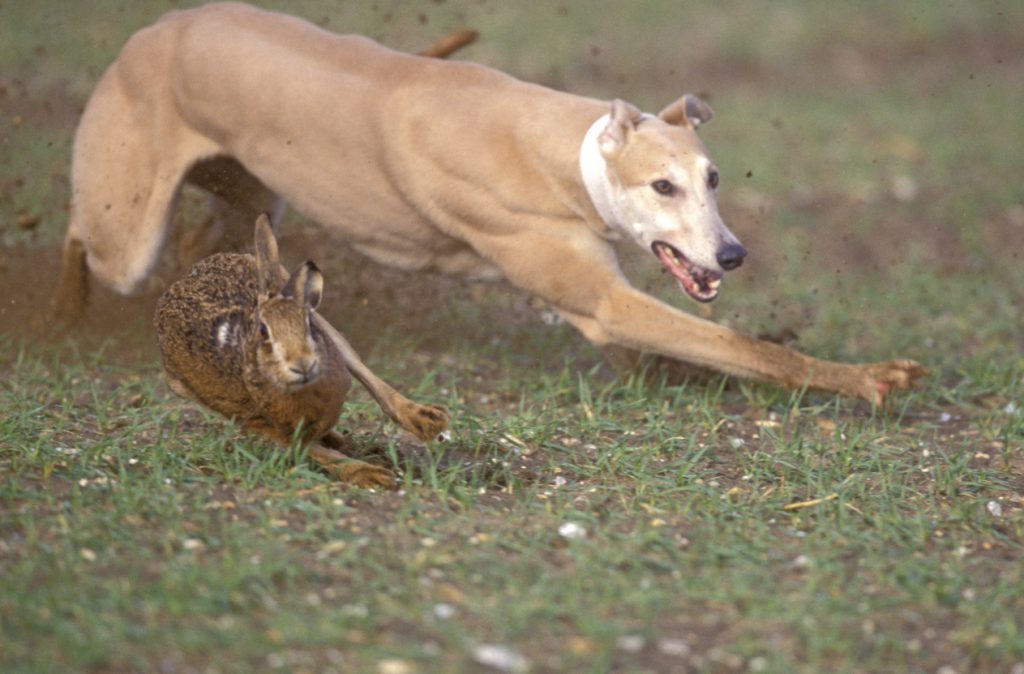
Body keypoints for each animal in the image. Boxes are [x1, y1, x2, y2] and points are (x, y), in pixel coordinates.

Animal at [155, 213, 396, 488]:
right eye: (263, 332)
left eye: (307, 323)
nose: (302, 364)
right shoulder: (269, 424)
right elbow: (316, 452)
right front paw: (372, 475)